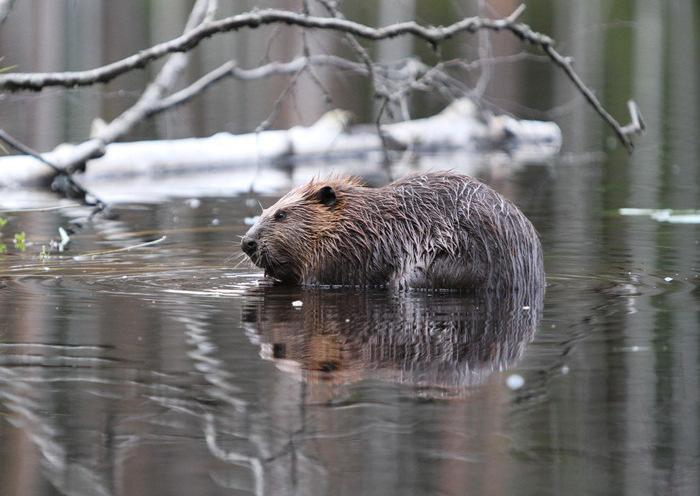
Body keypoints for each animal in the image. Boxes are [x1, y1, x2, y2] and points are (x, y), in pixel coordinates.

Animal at [242, 172, 548, 290]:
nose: (247, 242)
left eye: (281, 214)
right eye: (265, 211)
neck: (362, 222)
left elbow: (316, 278)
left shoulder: (345, 252)